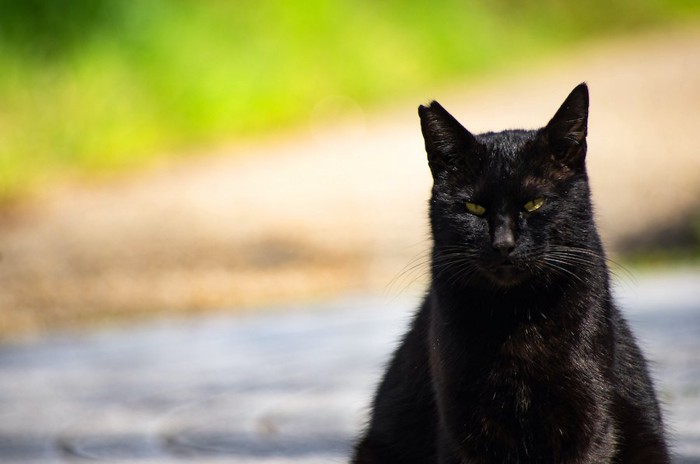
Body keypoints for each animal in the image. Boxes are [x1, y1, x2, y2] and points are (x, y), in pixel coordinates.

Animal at [352, 84, 668, 464]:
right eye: (473, 207)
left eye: (534, 203)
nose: (504, 243)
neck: (516, 316)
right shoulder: (464, 426)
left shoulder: (589, 419)